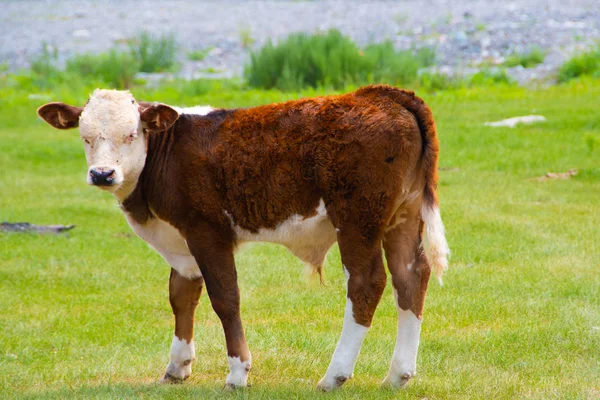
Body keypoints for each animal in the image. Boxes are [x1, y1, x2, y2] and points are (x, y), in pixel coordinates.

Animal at [37, 85, 448, 390]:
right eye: (85, 136)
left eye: (131, 133)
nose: (102, 174)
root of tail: (379, 95)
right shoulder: (182, 245)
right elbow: (181, 297)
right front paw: (177, 367)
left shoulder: (207, 233)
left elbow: (225, 299)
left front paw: (237, 373)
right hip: (403, 216)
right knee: (411, 277)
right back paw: (397, 375)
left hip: (357, 219)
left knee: (367, 283)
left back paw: (335, 375)